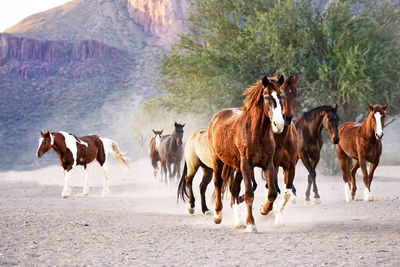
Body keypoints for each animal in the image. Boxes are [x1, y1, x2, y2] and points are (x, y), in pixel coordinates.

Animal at [208, 75, 286, 232]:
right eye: (266, 96)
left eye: (282, 96)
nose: (279, 125)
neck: (257, 132)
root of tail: (216, 117)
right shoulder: (246, 164)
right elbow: (249, 193)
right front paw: (251, 224)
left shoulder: (268, 164)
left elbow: (272, 193)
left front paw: (264, 209)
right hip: (218, 160)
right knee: (218, 183)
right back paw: (218, 215)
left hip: (237, 167)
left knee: (234, 189)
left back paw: (238, 221)